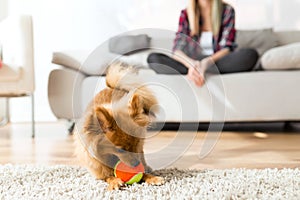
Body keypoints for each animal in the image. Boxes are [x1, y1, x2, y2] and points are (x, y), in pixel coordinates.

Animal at [74, 61, 164, 190]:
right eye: (120, 150)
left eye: (136, 144)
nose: (137, 164)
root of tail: (112, 87)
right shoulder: (99, 169)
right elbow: (107, 176)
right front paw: (114, 181)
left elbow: (143, 171)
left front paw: (152, 177)